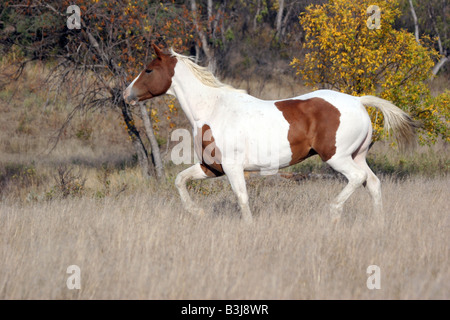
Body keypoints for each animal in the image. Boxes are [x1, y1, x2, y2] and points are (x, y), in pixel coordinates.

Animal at [122, 43, 414, 224]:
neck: (212, 109)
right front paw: (198, 213)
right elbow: (180, 180)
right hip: (357, 156)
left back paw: (333, 212)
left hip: (337, 157)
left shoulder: (232, 167)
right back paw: (378, 224)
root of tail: (357, 101)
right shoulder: (211, 167)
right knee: (373, 183)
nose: (126, 95)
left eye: (148, 69)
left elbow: (242, 198)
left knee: (357, 179)